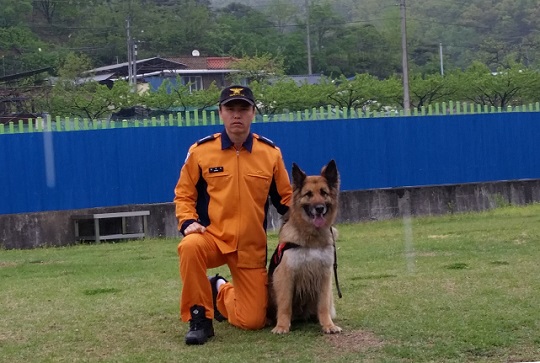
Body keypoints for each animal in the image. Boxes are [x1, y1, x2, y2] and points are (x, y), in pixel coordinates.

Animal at [266, 161, 342, 336]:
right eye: (308, 194)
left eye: (324, 193)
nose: (319, 208)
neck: (311, 238)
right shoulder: (285, 275)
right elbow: (285, 304)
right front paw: (282, 326)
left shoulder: (325, 276)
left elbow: (323, 305)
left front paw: (328, 325)